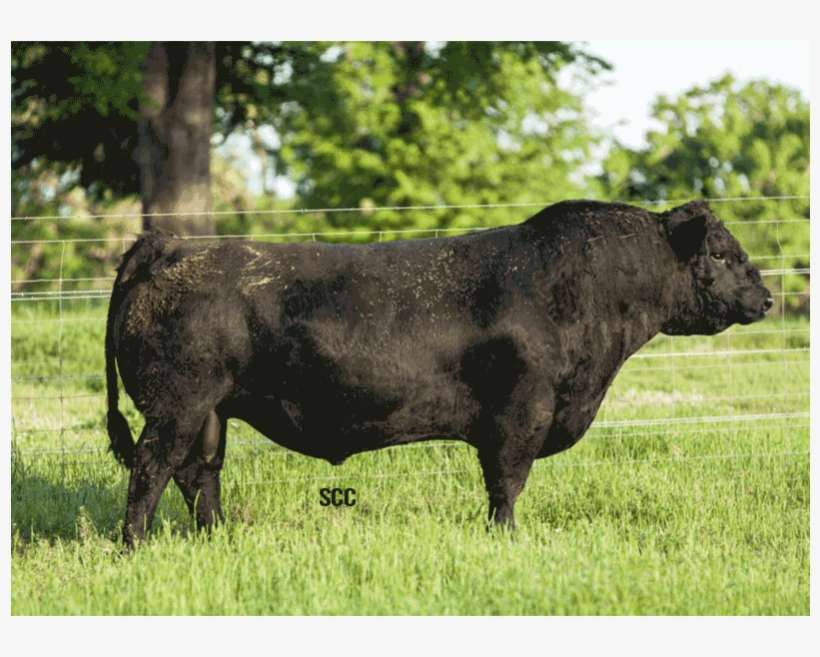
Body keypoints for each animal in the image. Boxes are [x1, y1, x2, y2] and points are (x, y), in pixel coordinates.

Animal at [105, 199, 772, 547]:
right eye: (719, 252)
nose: (765, 297)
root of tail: (171, 246)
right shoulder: (521, 414)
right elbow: (507, 484)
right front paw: (506, 538)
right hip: (178, 404)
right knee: (152, 469)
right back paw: (134, 545)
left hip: (210, 412)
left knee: (199, 474)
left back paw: (218, 538)